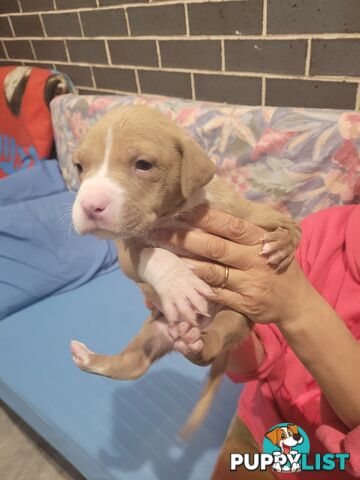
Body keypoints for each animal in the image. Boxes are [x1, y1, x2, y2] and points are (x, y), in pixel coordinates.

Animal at [70, 105, 300, 436]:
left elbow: (290, 225)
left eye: (143, 164)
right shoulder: (128, 252)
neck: (176, 215)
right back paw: (89, 357)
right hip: (154, 328)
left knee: (209, 347)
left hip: (235, 318)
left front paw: (282, 244)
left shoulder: (253, 214)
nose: (89, 206)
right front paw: (179, 285)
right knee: (132, 365)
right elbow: (152, 253)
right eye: (79, 166)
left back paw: (198, 344)